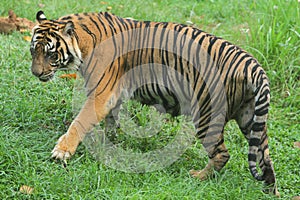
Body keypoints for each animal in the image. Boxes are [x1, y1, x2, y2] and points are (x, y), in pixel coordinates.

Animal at [30, 10, 278, 195]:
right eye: (34, 51)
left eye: (51, 54)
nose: (35, 73)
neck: (84, 42)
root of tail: (252, 65)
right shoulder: (111, 95)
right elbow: (111, 121)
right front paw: (109, 143)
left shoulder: (101, 94)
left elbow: (79, 121)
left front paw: (62, 152)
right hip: (251, 119)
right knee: (265, 158)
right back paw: (270, 191)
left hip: (207, 115)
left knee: (222, 154)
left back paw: (198, 177)